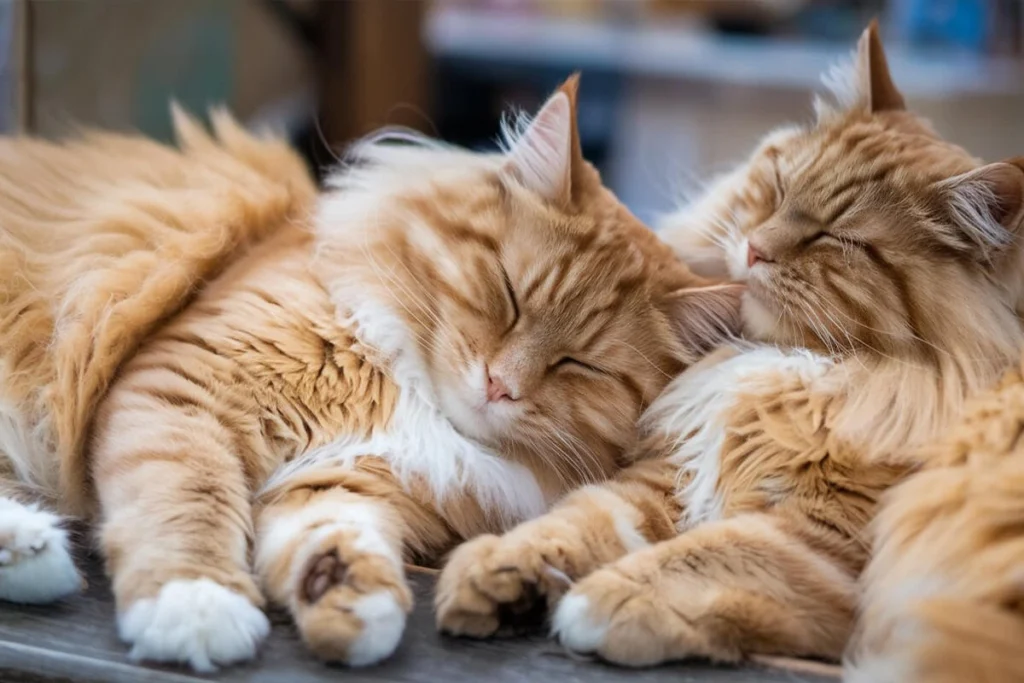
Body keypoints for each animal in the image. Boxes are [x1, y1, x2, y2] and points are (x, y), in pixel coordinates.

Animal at [0, 77, 745, 671]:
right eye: (508, 295)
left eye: (579, 364)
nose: (499, 383)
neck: (407, 391)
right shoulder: (182, 392)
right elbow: (188, 501)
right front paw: (197, 606)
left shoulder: (347, 478)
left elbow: (335, 536)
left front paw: (351, 601)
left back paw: (31, 551)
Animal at [434, 22, 1024, 667]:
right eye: (780, 187)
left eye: (838, 240)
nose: (756, 249)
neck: (787, 363)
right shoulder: (668, 476)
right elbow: (577, 522)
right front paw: (501, 571)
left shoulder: (823, 536)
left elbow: (700, 558)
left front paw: (600, 599)